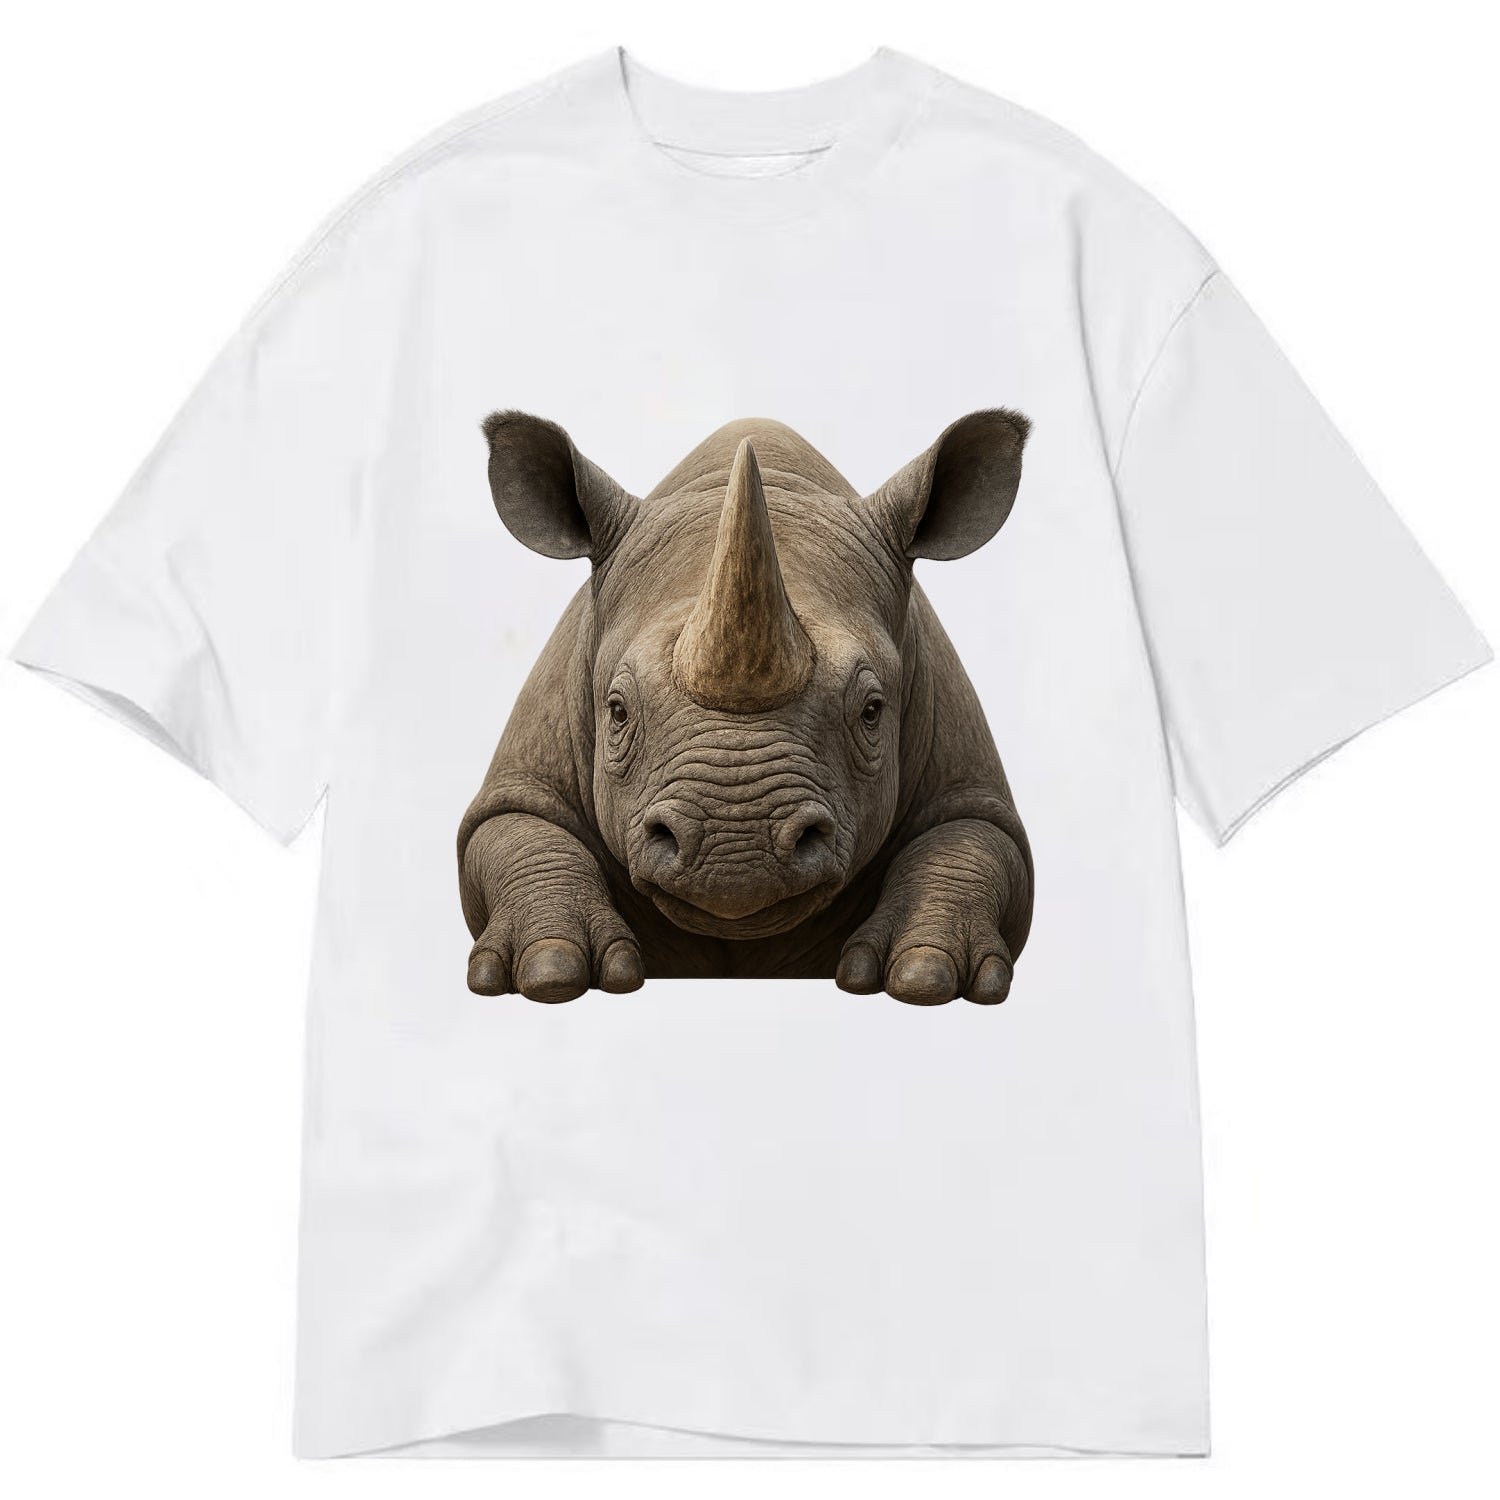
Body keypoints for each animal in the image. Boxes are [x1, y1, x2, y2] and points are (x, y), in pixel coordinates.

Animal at [458, 410, 1034, 1006]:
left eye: (872, 711)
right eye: (616, 711)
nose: (736, 852)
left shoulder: (965, 775)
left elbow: (970, 839)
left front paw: (925, 976)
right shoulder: (526, 773)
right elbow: (517, 828)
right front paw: (550, 971)